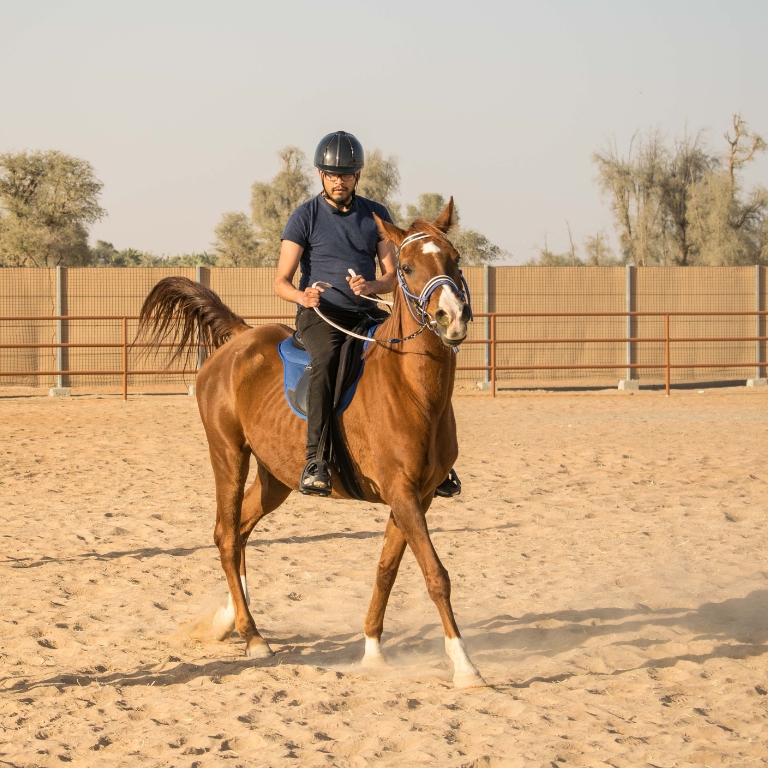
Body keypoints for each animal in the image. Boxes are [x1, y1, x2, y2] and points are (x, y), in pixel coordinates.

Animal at [138, 199, 485, 688]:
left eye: (455, 259)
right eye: (408, 267)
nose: (451, 317)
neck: (411, 389)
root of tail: (241, 338)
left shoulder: (418, 497)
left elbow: (387, 569)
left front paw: (372, 648)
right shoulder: (402, 493)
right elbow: (435, 574)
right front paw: (464, 665)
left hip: (275, 478)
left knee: (240, 531)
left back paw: (230, 619)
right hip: (228, 455)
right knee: (226, 534)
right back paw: (252, 636)